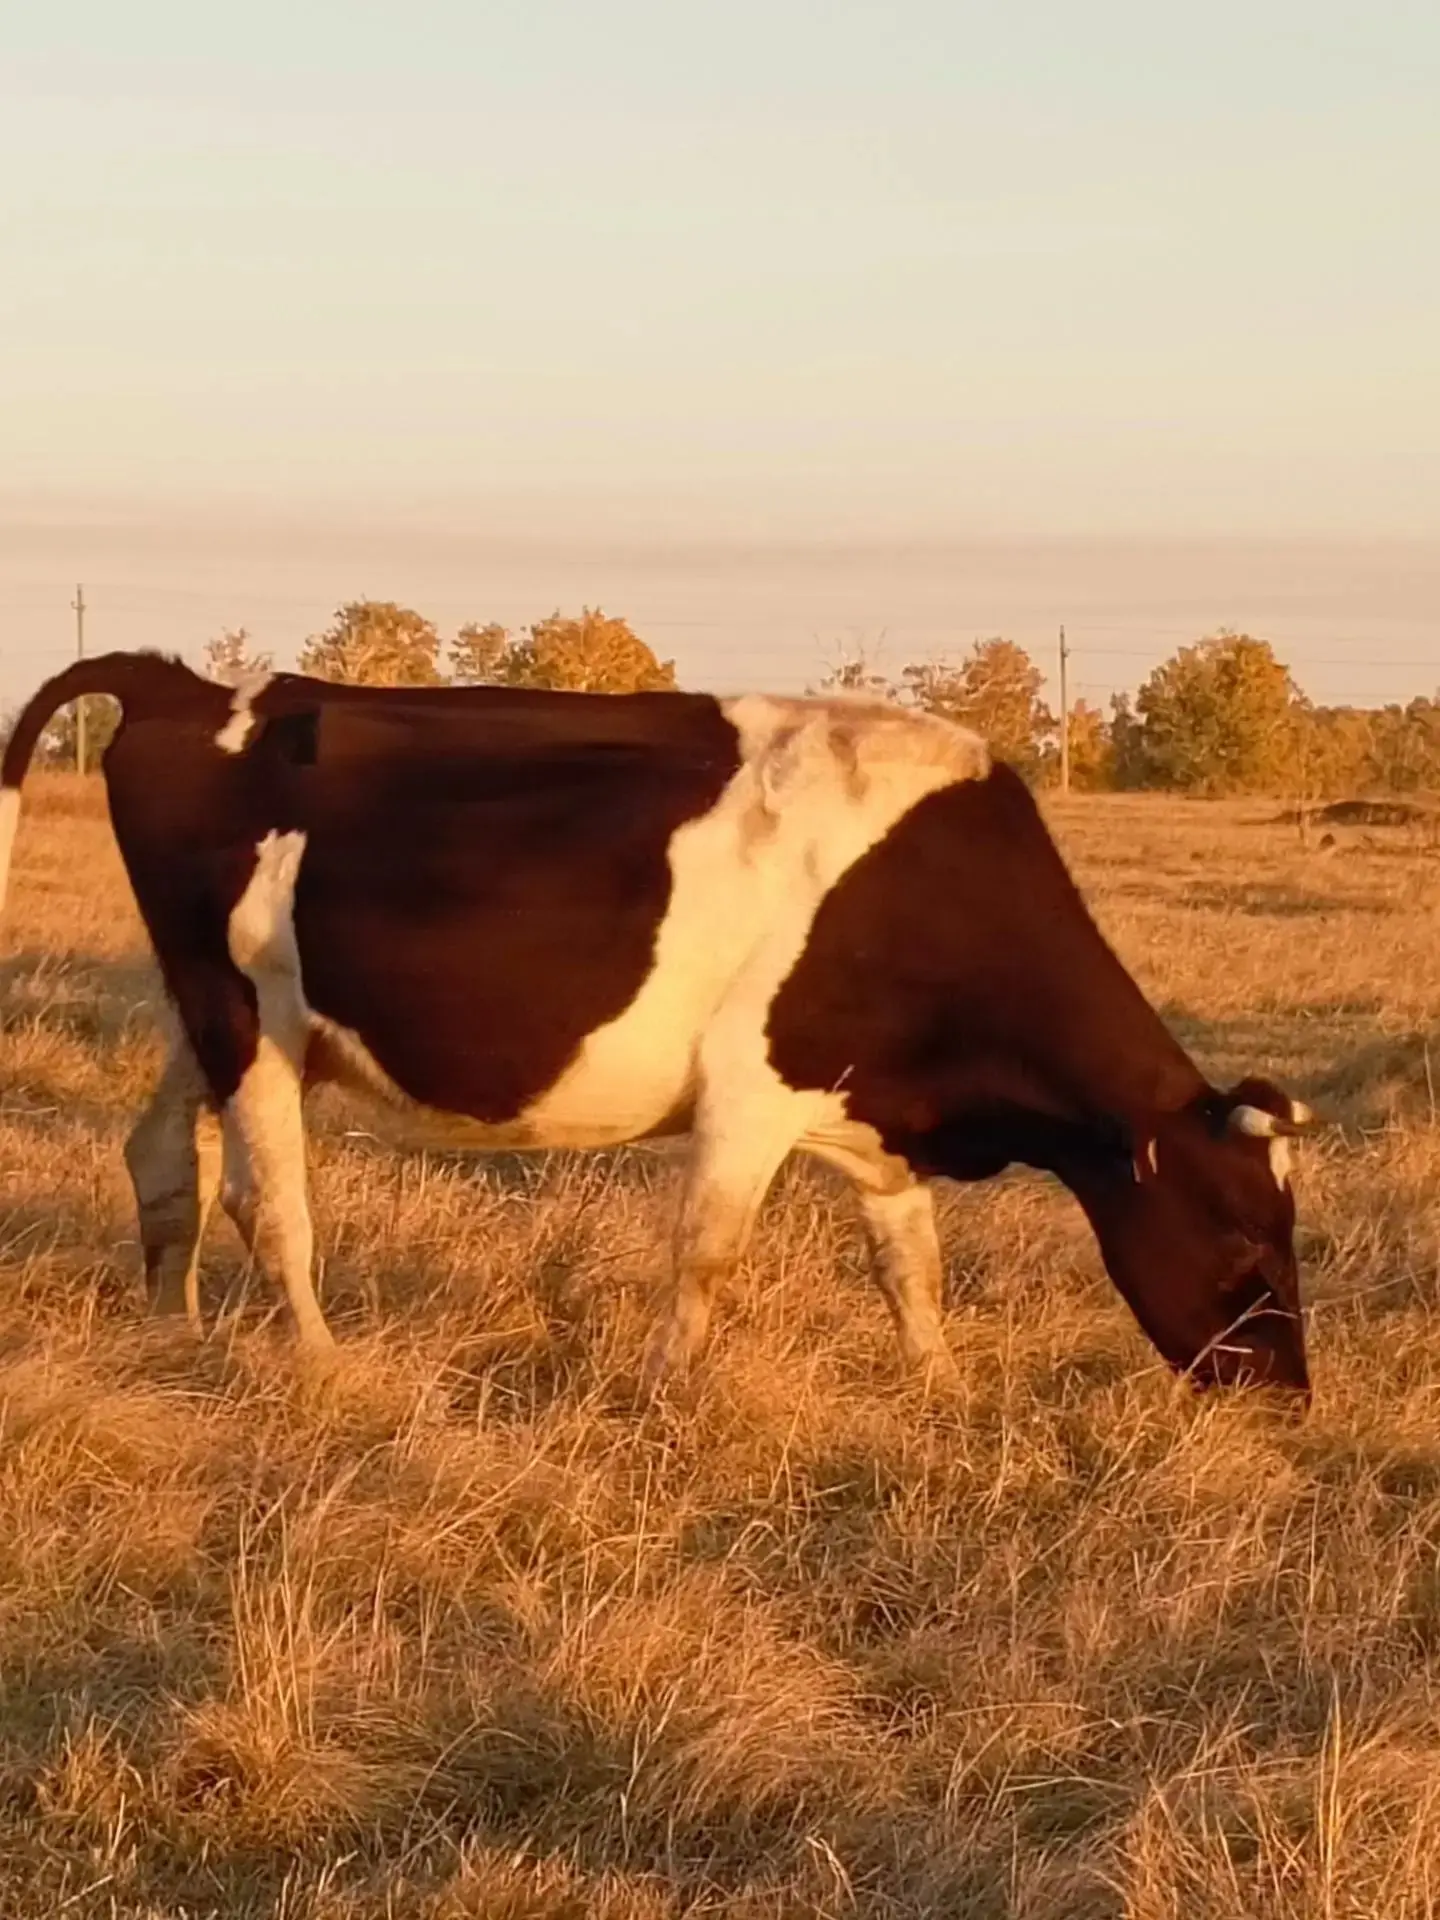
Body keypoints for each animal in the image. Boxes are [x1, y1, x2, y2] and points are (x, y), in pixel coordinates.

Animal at [0, 650, 1314, 1398]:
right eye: (1244, 1241)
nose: (1287, 1394)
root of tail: (193, 685)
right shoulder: (752, 1094)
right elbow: (709, 1253)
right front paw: (666, 1394)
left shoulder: (869, 1116)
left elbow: (912, 1267)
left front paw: (944, 1393)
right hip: (247, 1016)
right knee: (267, 1196)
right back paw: (322, 1361)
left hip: (211, 1016)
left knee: (162, 1154)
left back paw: (170, 1335)